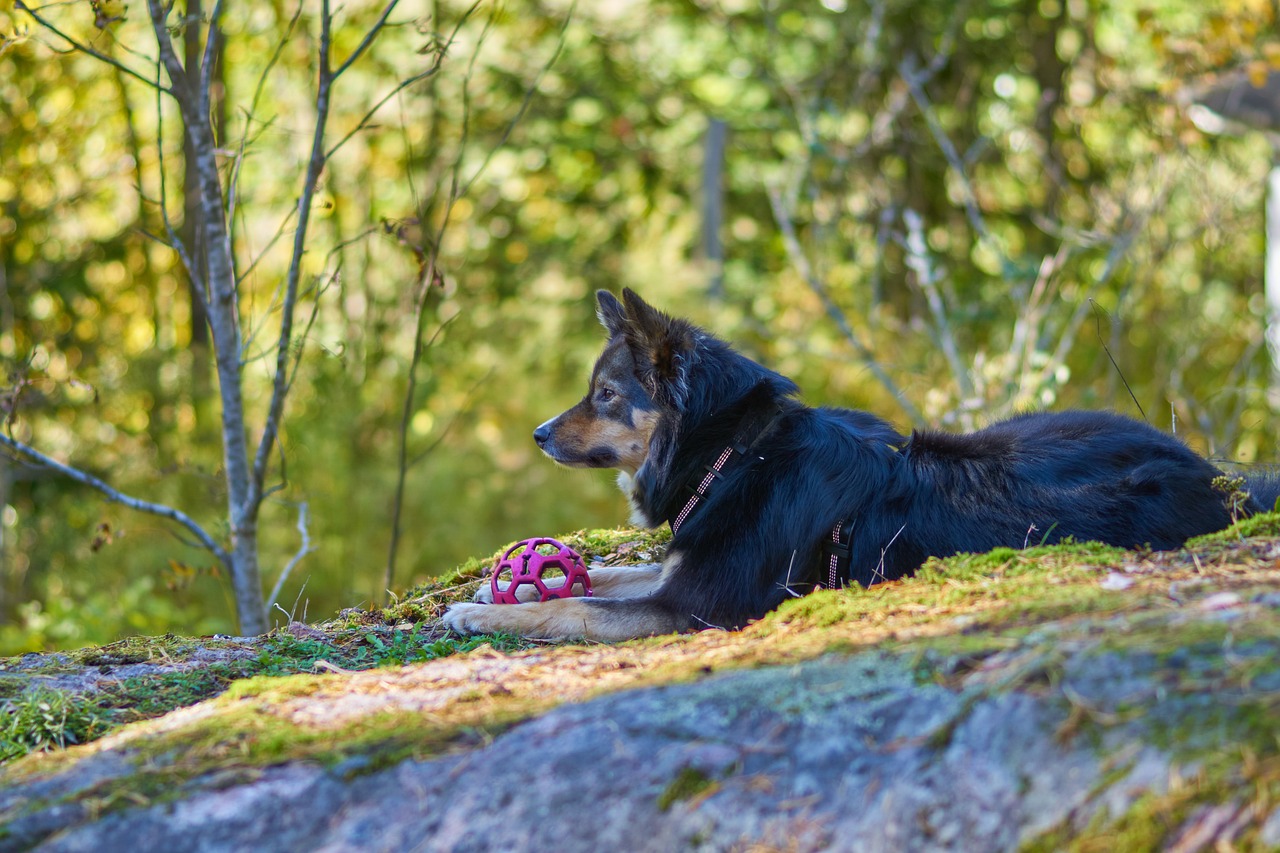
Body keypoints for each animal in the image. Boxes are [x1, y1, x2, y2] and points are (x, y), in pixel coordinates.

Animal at [442, 286, 1280, 637]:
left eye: (606, 394)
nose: (538, 433)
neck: (733, 456)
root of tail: (1217, 476)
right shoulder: (685, 564)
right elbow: (609, 572)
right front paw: (504, 589)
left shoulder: (699, 605)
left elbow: (580, 605)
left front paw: (482, 611)